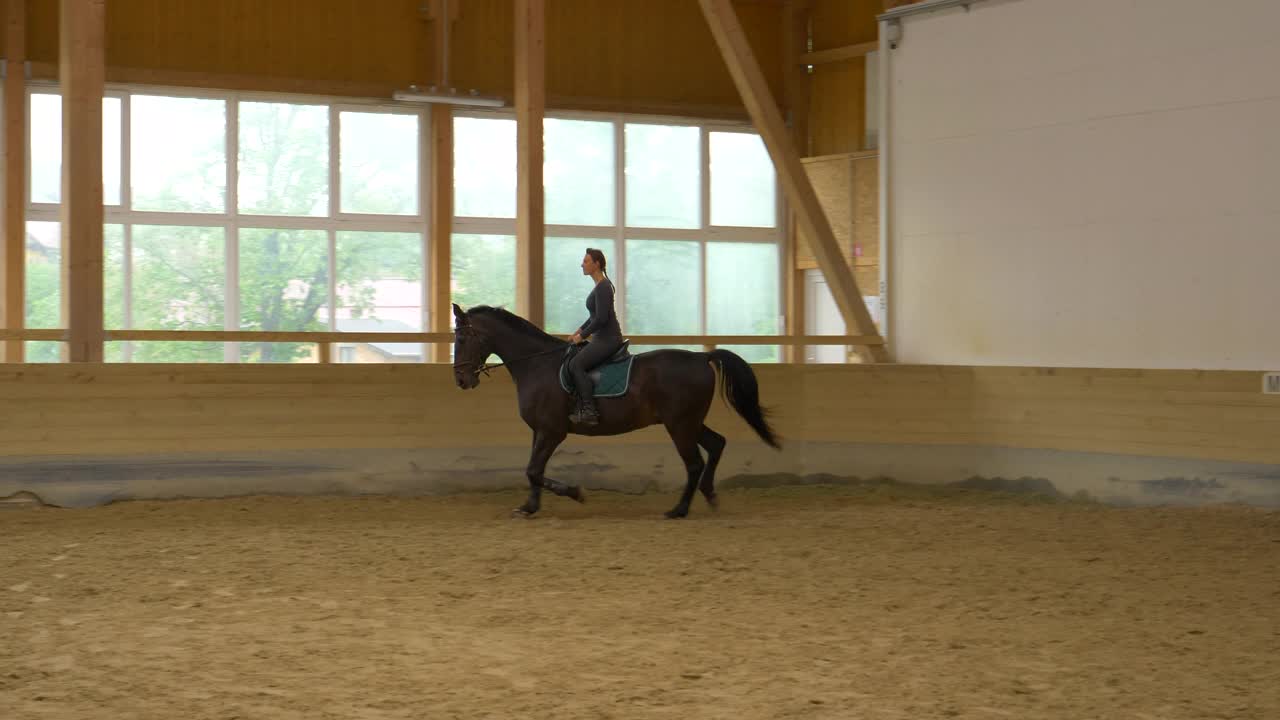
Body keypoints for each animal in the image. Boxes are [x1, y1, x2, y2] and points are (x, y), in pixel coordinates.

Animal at [455, 302, 783, 515]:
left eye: (463, 338)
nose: (461, 380)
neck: (537, 364)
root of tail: (701, 358)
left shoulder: (552, 431)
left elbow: (534, 470)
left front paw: (575, 493)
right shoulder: (540, 430)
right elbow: (533, 471)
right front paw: (529, 506)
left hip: (680, 425)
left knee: (695, 463)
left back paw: (679, 509)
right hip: (689, 423)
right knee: (716, 445)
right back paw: (710, 495)